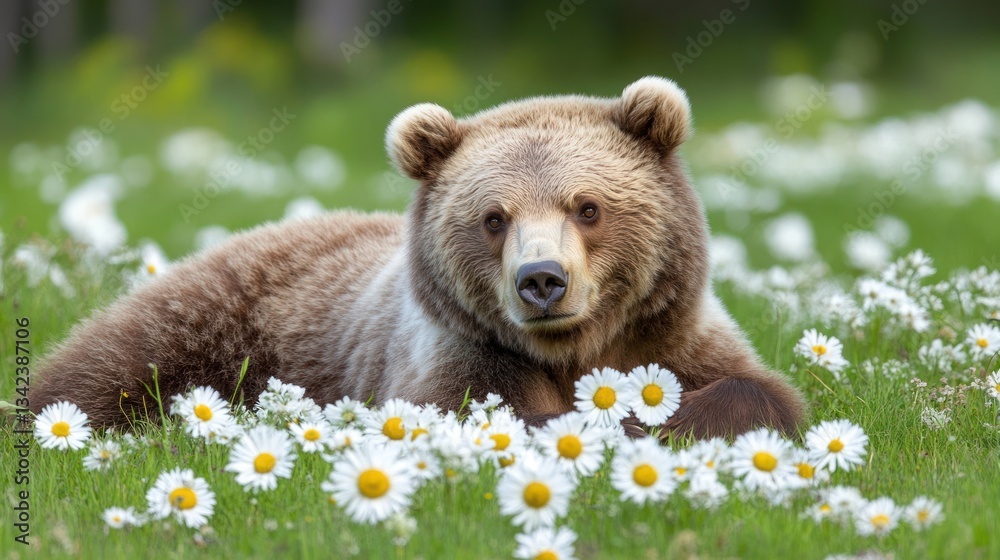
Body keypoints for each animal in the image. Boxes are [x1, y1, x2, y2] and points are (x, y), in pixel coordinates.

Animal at [30, 76, 806, 438]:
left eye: (587, 207)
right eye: (494, 218)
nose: (542, 281)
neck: (572, 350)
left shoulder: (672, 337)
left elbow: (756, 389)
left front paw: (665, 418)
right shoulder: (456, 356)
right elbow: (483, 412)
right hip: (209, 322)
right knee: (101, 374)